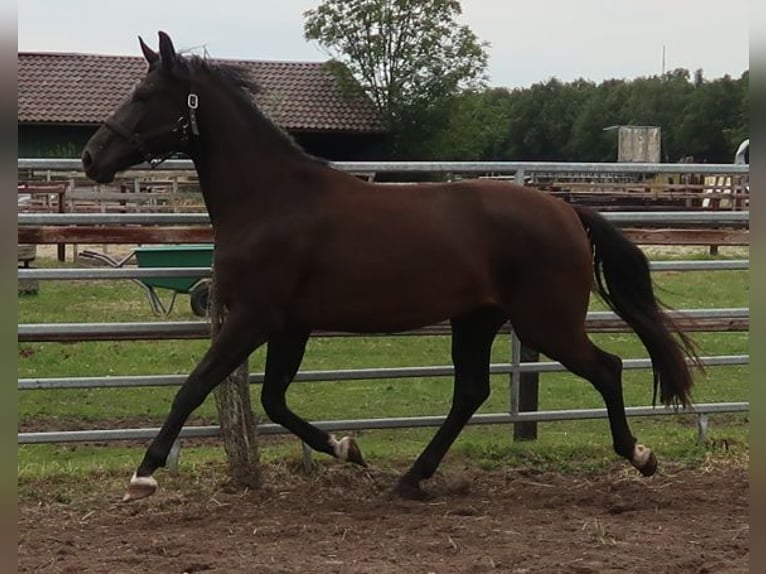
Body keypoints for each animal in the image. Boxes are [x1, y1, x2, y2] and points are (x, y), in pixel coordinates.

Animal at [79, 32, 704, 504]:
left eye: (143, 94)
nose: (90, 158)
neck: (273, 201)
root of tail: (567, 210)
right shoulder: (289, 325)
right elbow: (274, 399)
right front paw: (348, 449)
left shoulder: (253, 317)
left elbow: (195, 386)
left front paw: (143, 474)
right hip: (477, 319)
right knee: (471, 391)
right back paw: (411, 478)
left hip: (544, 324)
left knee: (607, 368)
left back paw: (640, 455)